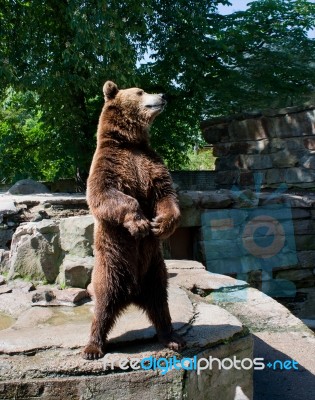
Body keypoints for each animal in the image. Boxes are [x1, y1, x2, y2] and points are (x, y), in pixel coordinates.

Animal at [83, 81, 188, 360]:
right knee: (102, 306)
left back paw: (172, 338)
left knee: (160, 304)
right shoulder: (108, 164)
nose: (163, 95)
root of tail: (131, 294)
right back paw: (93, 347)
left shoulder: (151, 163)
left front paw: (161, 224)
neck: (129, 142)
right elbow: (105, 194)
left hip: (155, 270)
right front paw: (139, 223)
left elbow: (166, 194)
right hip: (110, 268)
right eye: (140, 92)